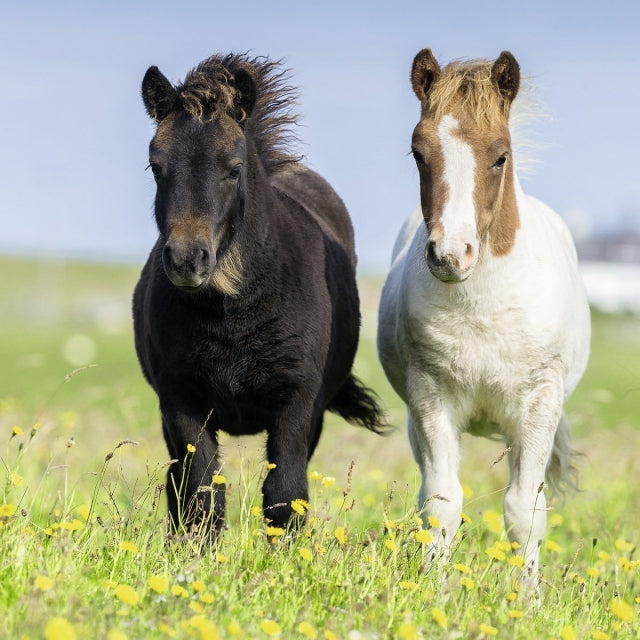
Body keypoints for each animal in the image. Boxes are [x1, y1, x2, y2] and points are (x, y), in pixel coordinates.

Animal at [133, 53, 384, 538]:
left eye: (234, 169)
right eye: (156, 166)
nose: (187, 260)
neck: (231, 313)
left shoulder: (297, 404)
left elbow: (285, 497)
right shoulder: (180, 402)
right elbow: (201, 495)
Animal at [377, 49, 590, 583]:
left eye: (500, 156)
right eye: (418, 153)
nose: (450, 255)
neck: (482, 306)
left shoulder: (538, 405)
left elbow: (524, 512)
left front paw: (527, 598)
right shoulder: (430, 398)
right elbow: (441, 504)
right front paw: (433, 591)